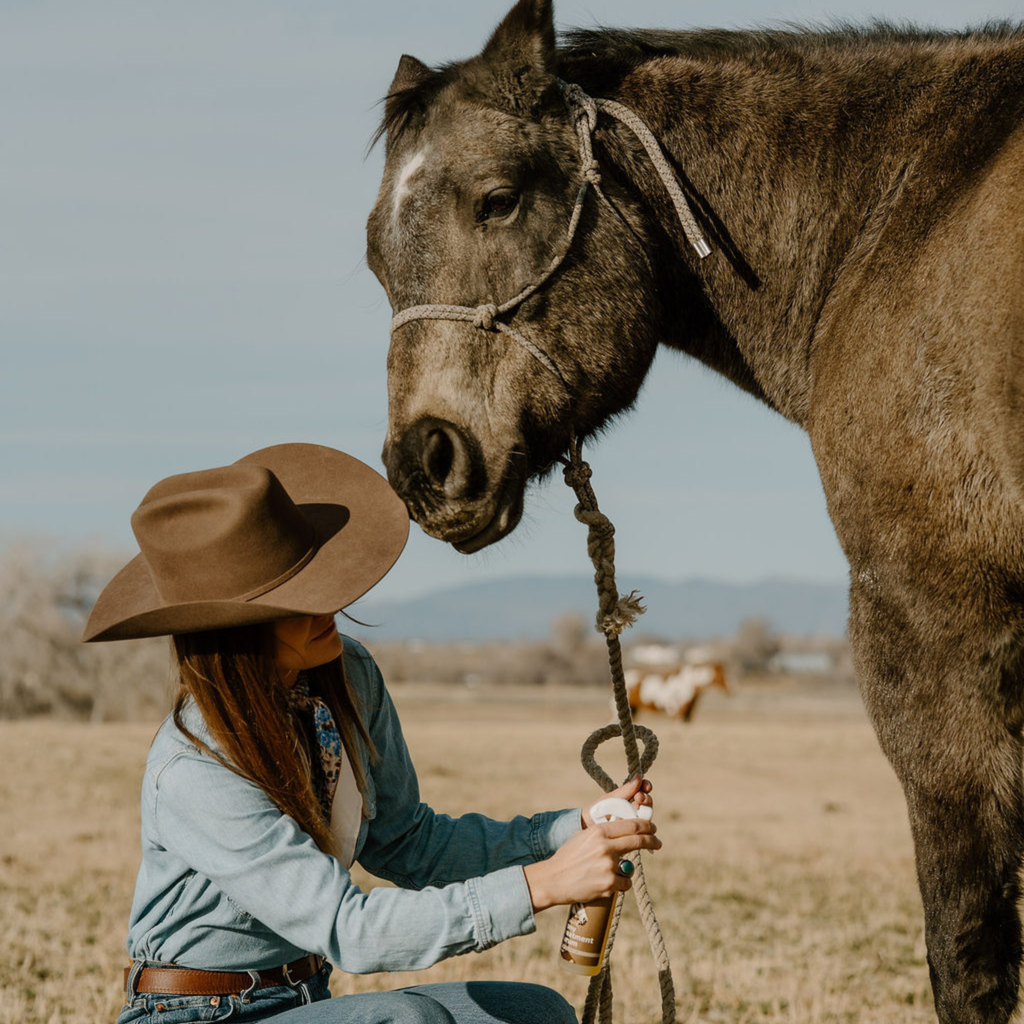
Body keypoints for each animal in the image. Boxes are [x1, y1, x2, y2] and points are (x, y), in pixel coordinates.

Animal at [365, 1, 1024, 1020]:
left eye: (498, 200)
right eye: (374, 251)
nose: (422, 464)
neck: (905, 214)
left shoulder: (933, 620)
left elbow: (968, 951)